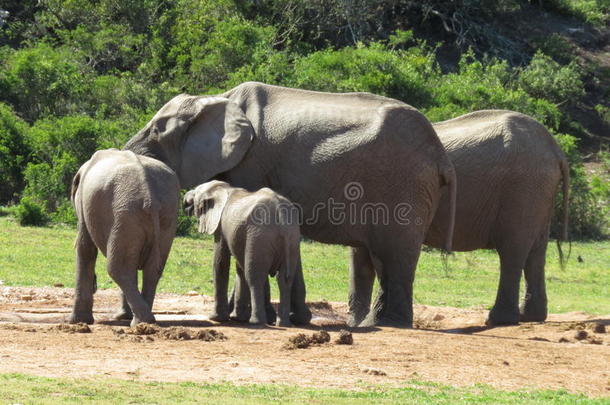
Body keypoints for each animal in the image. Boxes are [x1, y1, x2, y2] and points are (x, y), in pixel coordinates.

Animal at [70, 148, 178, 326]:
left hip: (125, 216)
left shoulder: (84, 208)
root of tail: (150, 197)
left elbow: (85, 249)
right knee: (153, 269)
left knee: (119, 269)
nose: (95, 285)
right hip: (165, 217)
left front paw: (77, 321)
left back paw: (141, 322)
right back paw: (143, 321)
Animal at [183, 180, 302, 326]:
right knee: (285, 279)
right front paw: (238, 318)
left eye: (195, 196)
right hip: (292, 239)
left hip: (259, 235)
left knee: (255, 277)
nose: (185, 200)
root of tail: (281, 213)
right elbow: (239, 267)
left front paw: (215, 318)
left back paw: (257, 322)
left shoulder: (220, 226)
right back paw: (283, 323)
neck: (223, 188)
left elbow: (221, 263)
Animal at [346, 109, 568, 326]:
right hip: (539, 192)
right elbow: (361, 256)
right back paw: (530, 317)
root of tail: (555, 149)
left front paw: (364, 323)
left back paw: (499, 320)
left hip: (523, 188)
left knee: (512, 250)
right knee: (536, 252)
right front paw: (357, 322)